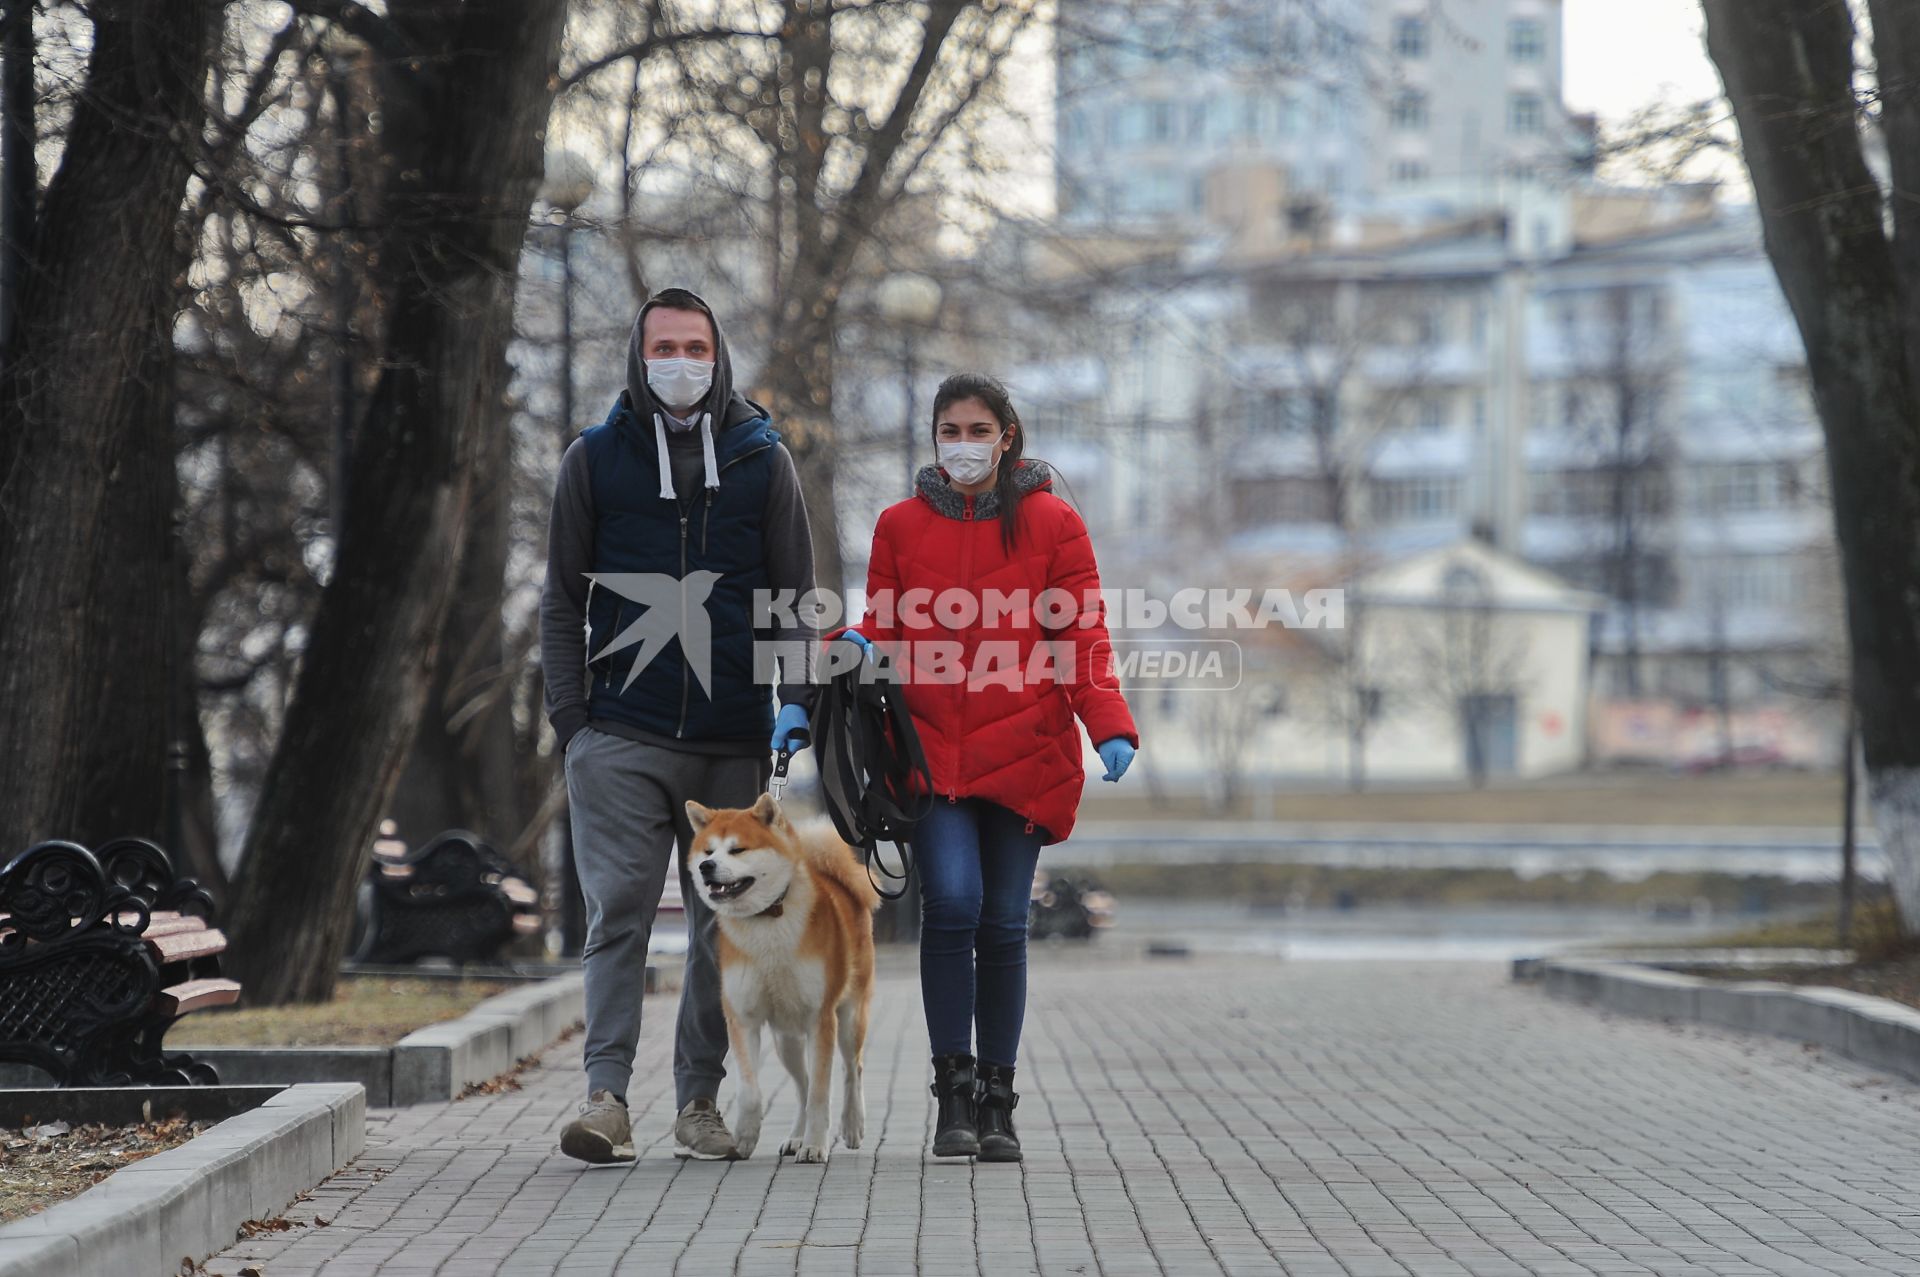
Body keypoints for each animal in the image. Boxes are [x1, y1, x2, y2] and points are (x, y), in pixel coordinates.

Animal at [683, 791, 879, 1159]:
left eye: (737, 850)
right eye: (707, 851)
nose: (706, 867)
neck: (767, 919)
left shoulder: (821, 1018)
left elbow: (820, 1094)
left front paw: (815, 1145)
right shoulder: (743, 1018)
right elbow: (750, 1090)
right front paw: (745, 1136)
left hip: (849, 1018)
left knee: (852, 1069)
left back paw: (851, 1124)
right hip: (785, 1039)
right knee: (801, 1085)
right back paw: (795, 1137)